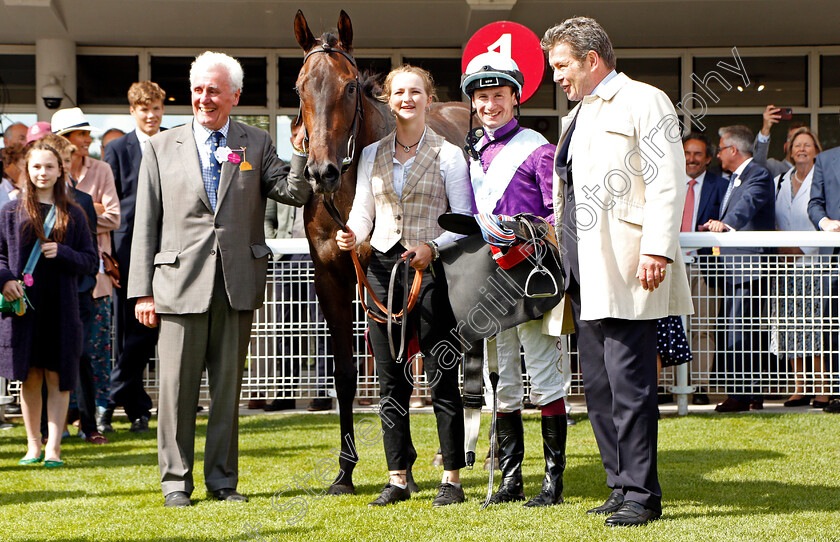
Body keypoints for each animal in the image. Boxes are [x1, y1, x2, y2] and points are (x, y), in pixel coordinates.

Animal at [292, 10, 470, 496]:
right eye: (299, 87)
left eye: (350, 86)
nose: (321, 172)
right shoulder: (332, 277)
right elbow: (349, 374)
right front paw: (345, 472)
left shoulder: (391, 274)